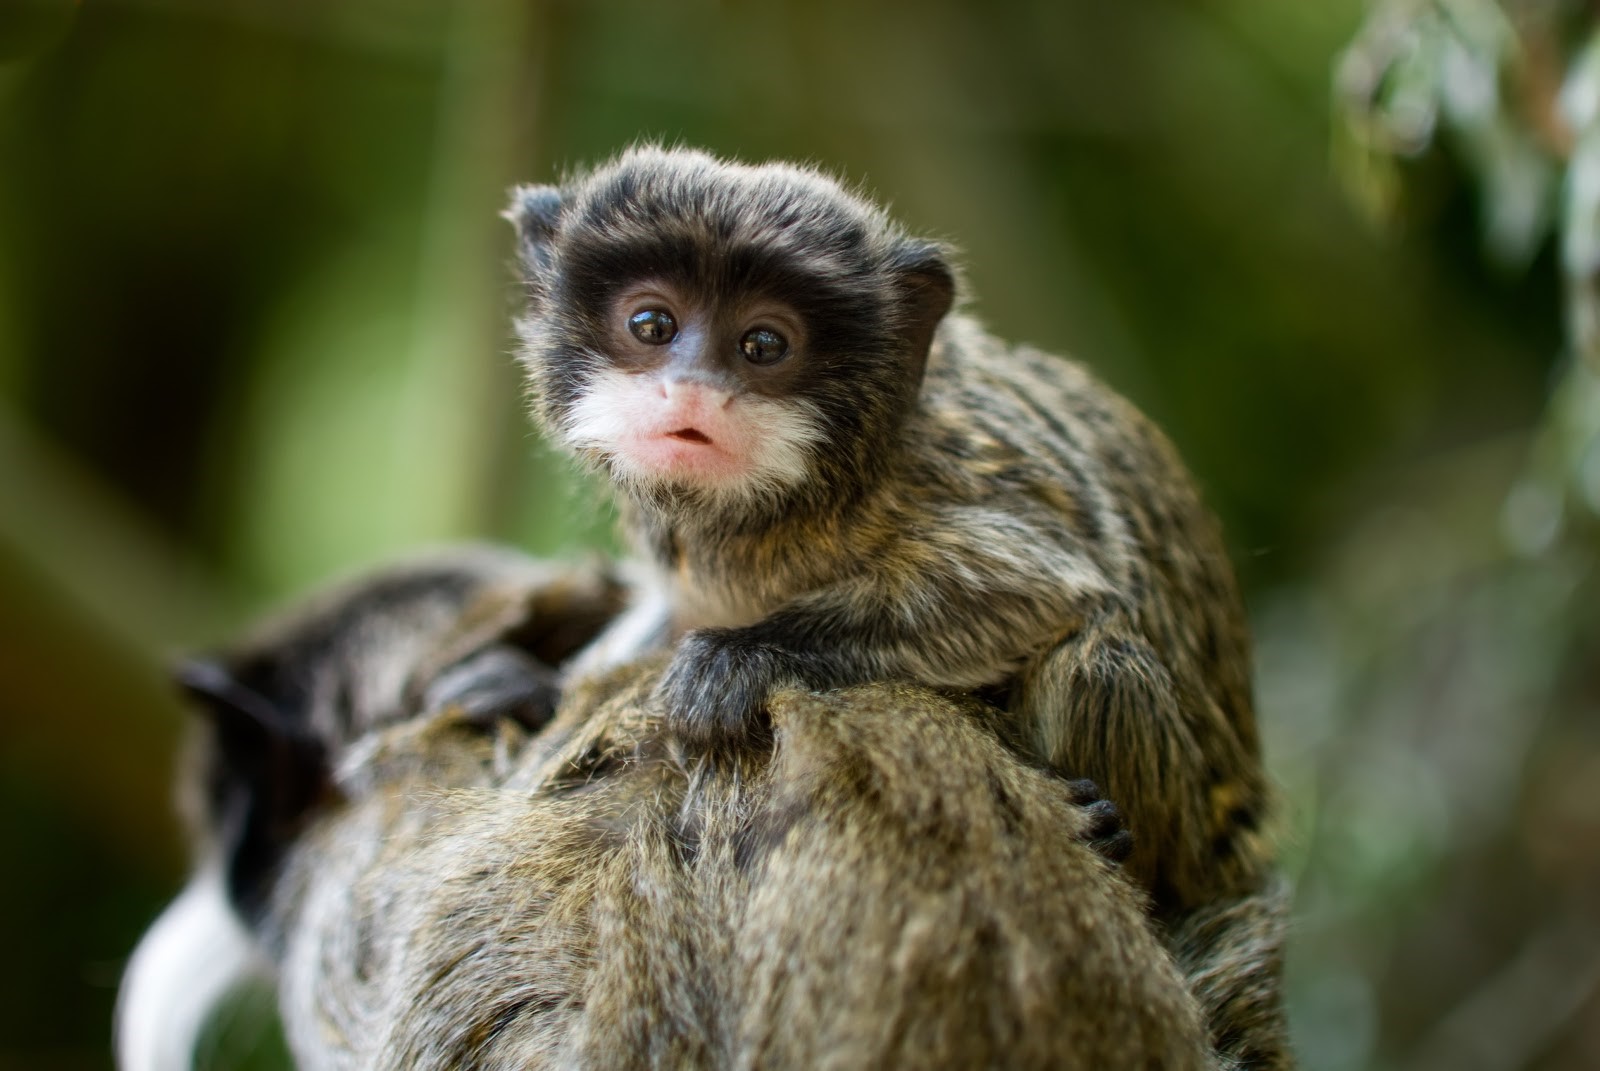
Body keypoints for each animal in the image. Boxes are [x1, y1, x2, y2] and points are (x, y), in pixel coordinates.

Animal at [505, 146, 1292, 1062]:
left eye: (763, 343)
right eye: (652, 326)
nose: (692, 389)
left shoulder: (945, 464)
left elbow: (1043, 582)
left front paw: (738, 656)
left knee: (1100, 659)